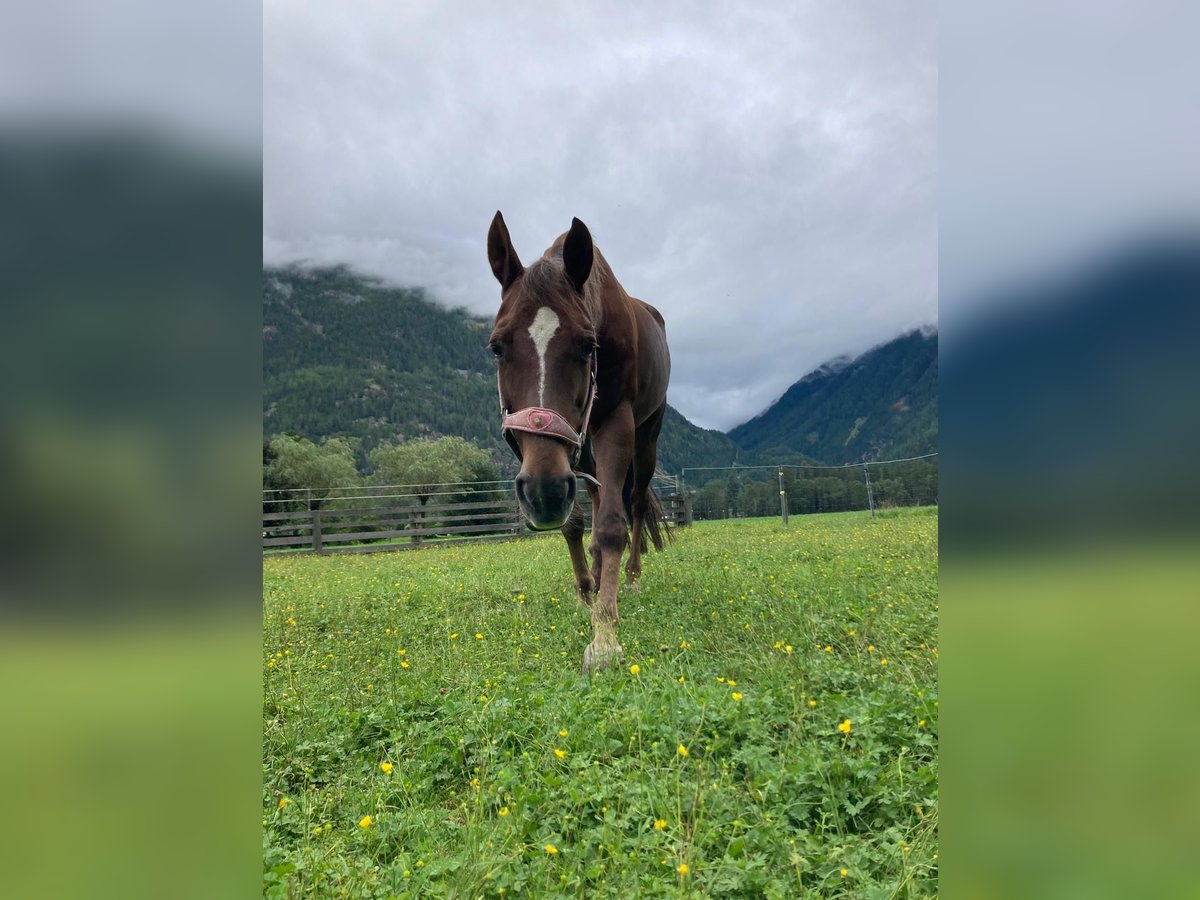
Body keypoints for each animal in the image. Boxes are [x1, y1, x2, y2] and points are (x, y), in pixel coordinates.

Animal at [489, 213, 676, 676]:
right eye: (497, 347)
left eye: (587, 346)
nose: (544, 494)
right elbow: (576, 521)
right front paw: (585, 591)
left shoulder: (616, 423)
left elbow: (611, 525)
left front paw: (604, 634)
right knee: (593, 493)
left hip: (647, 435)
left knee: (637, 503)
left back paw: (631, 577)